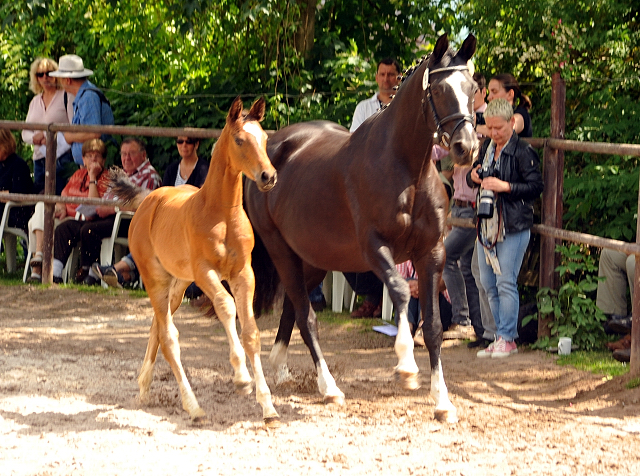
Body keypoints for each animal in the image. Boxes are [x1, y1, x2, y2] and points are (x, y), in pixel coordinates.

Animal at [115, 98, 280, 426]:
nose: (268, 176)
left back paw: (144, 387)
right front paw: (242, 378)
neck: (221, 213)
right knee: (169, 337)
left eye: (266, 138)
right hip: (156, 280)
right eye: (240, 140)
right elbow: (226, 307)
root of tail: (147, 201)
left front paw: (268, 406)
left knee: (157, 327)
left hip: (178, 284)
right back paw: (193, 406)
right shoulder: (206, 272)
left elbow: (252, 332)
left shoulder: (244, 273)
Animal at [248, 35, 478, 422]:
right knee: (306, 315)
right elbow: (400, 292)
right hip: (281, 250)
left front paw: (443, 401)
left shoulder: (432, 253)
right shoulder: (375, 248)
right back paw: (329, 388)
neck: (406, 168)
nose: (467, 147)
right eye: (439, 89)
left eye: (473, 88)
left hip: (313, 259)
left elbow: (433, 326)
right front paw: (406, 367)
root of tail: (273, 148)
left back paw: (280, 369)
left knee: (292, 307)